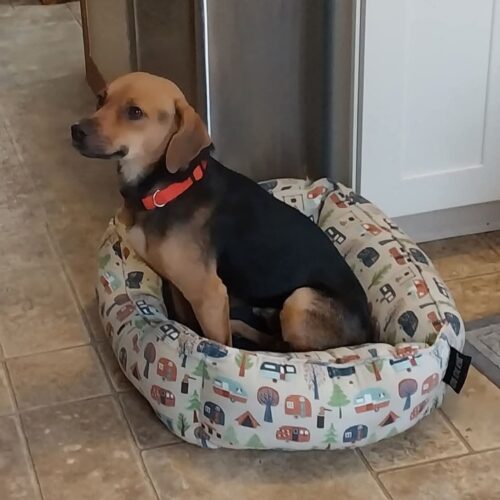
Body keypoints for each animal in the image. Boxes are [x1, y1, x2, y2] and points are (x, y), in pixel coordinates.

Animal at [71, 72, 374, 351]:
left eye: (135, 112)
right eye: (101, 99)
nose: (75, 130)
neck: (164, 189)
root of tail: (370, 332)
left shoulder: (209, 293)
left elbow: (216, 339)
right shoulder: (180, 285)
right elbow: (188, 323)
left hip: (300, 301)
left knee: (286, 348)